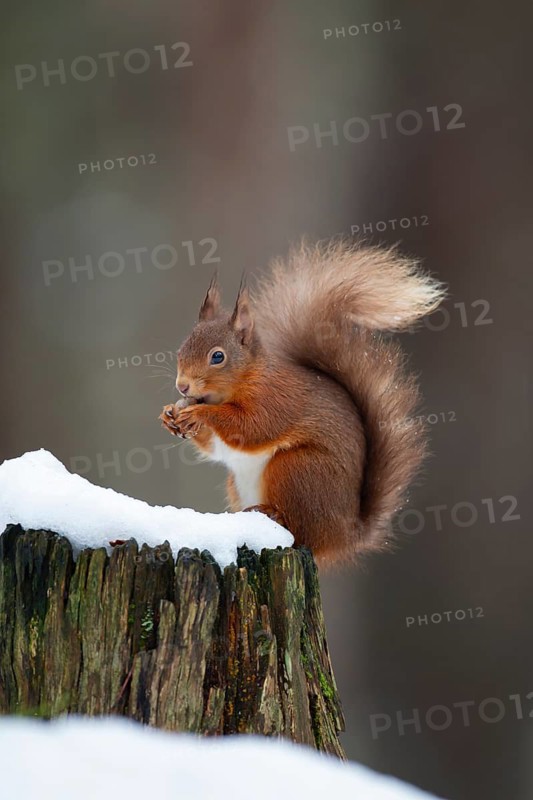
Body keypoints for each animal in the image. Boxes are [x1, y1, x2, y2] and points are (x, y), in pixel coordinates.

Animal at [159, 239, 446, 567]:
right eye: (181, 348)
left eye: (218, 356)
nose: (182, 385)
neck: (244, 380)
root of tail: (345, 535)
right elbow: (215, 447)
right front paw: (170, 414)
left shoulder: (277, 399)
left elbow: (253, 429)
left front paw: (200, 413)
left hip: (296, 469)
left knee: (301, 531)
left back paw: (274, 513)